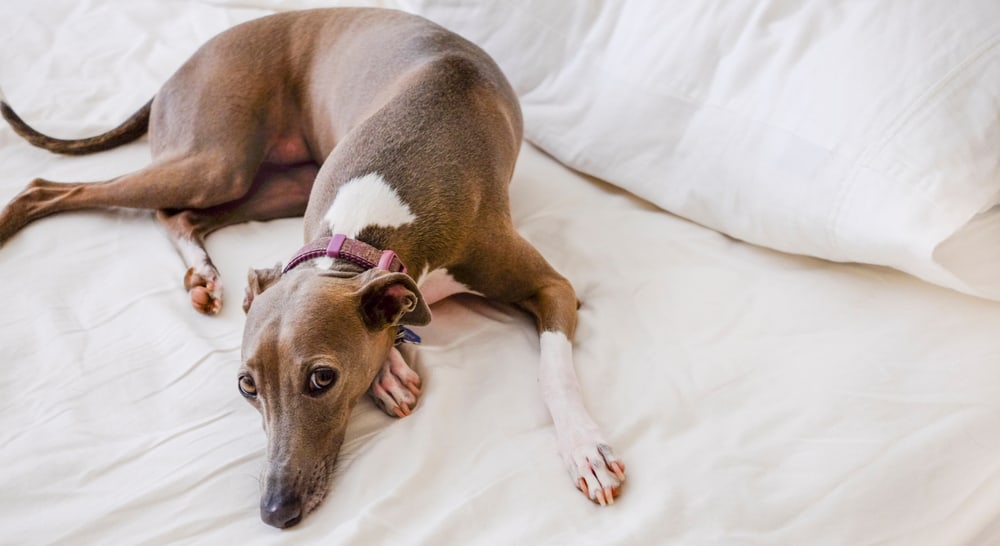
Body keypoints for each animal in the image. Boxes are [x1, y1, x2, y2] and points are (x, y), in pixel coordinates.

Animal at [0, 7, 624, 528]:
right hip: (219, 162)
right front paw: (390, 370)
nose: (274, 512)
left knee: (157, 209)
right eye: (247, 386)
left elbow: (553, 369)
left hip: (258, 175)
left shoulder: (553, 286)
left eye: (322, 378)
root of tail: (178, 71)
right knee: (73, 191)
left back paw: (198, 269)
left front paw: (585, 449)